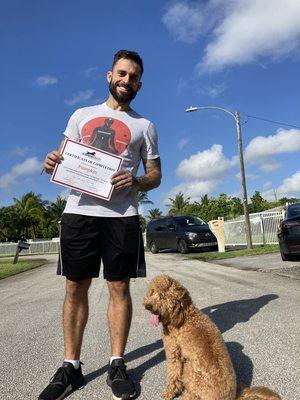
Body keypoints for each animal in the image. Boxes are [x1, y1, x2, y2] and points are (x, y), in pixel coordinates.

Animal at [143, 276, 282, 400]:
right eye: (152, 292)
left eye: (162, 296)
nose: (148, 306)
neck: (184, 316)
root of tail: (235, 396)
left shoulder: (174, 354)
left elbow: (173, 376)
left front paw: (169, 393)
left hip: (190, 370)